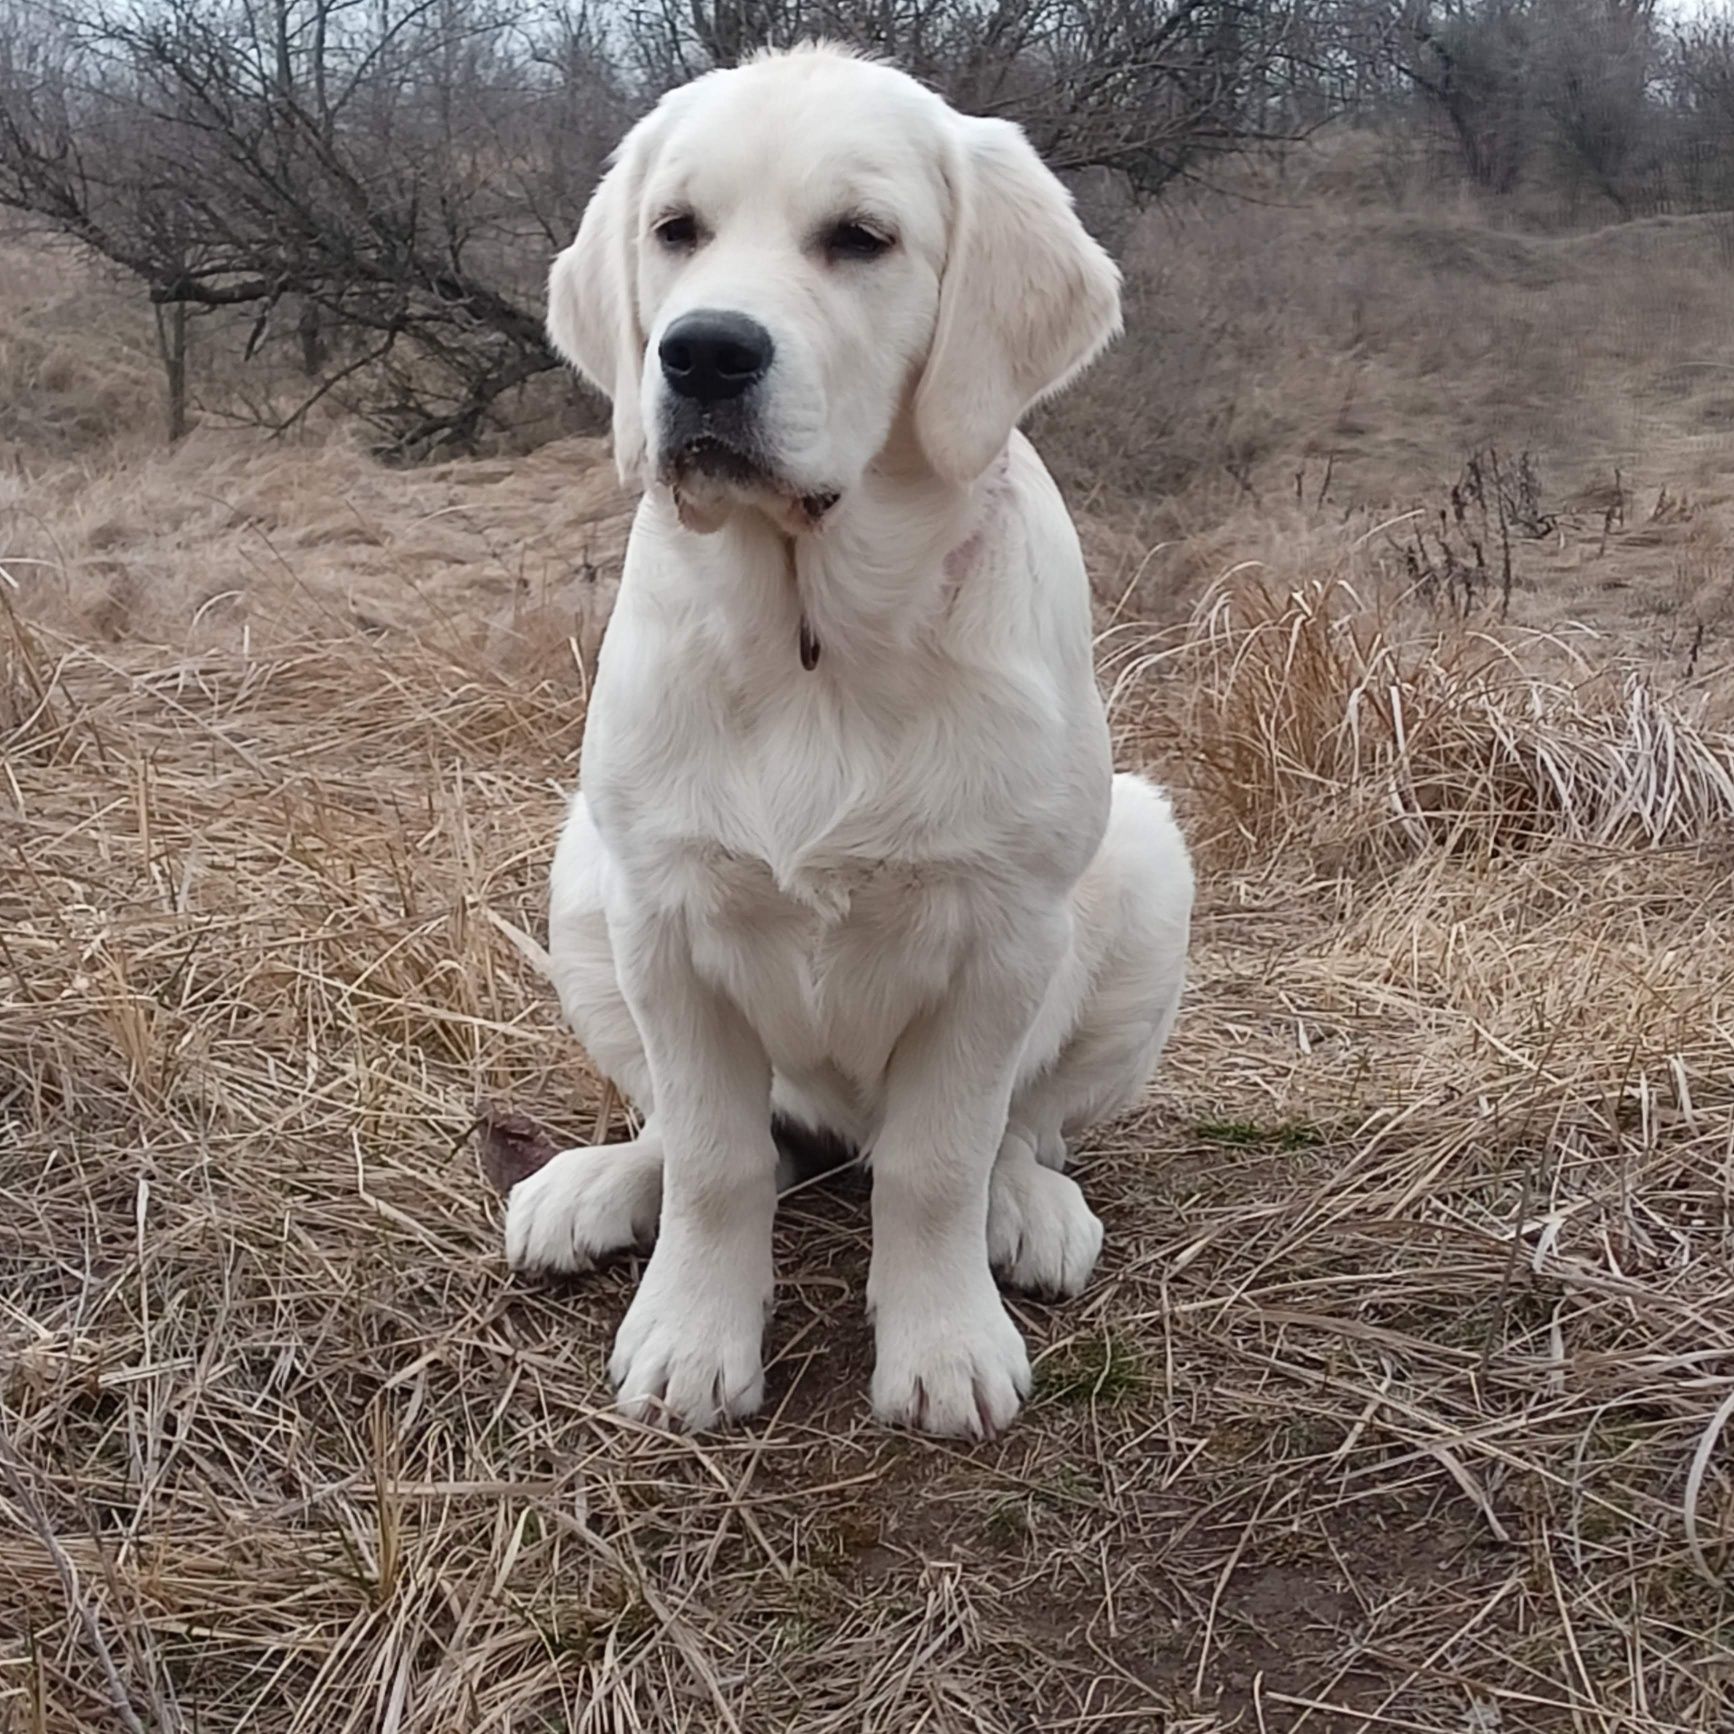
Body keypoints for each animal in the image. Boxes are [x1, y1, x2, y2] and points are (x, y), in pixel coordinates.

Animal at [506, 47, 1192, 1442]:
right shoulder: (662, 916)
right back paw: (596, 1186)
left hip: (1149, 870)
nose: (704, 354)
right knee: (715, 1133)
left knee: (1021, 1127)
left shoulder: (1001, 937)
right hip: (582, 880)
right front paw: (690, 1335)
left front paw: (943, 1345)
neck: (814, 633)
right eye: (676, 231)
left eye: (861, 240)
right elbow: (717, 1157)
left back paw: (1028, 1207)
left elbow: (936, 1161)